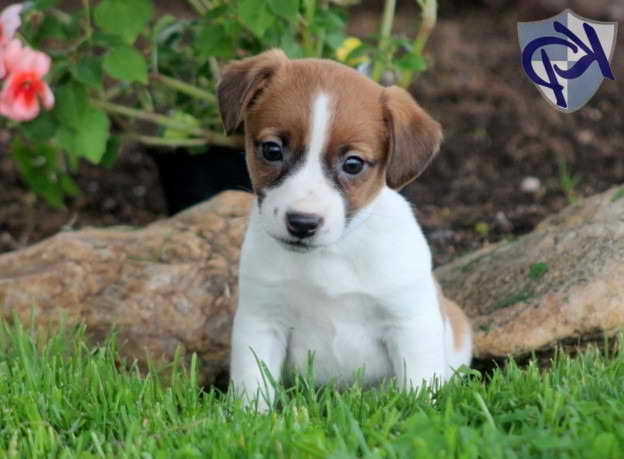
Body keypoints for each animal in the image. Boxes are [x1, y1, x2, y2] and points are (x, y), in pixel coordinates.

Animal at [217, 49, 470, 410]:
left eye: (353, 164)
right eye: (272, 150)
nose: (302, 223)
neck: (332, 253)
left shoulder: (410, 322)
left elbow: (417, 387)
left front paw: (418, 415)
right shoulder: (261, 320)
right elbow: (252, 385)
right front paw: (251, 418)